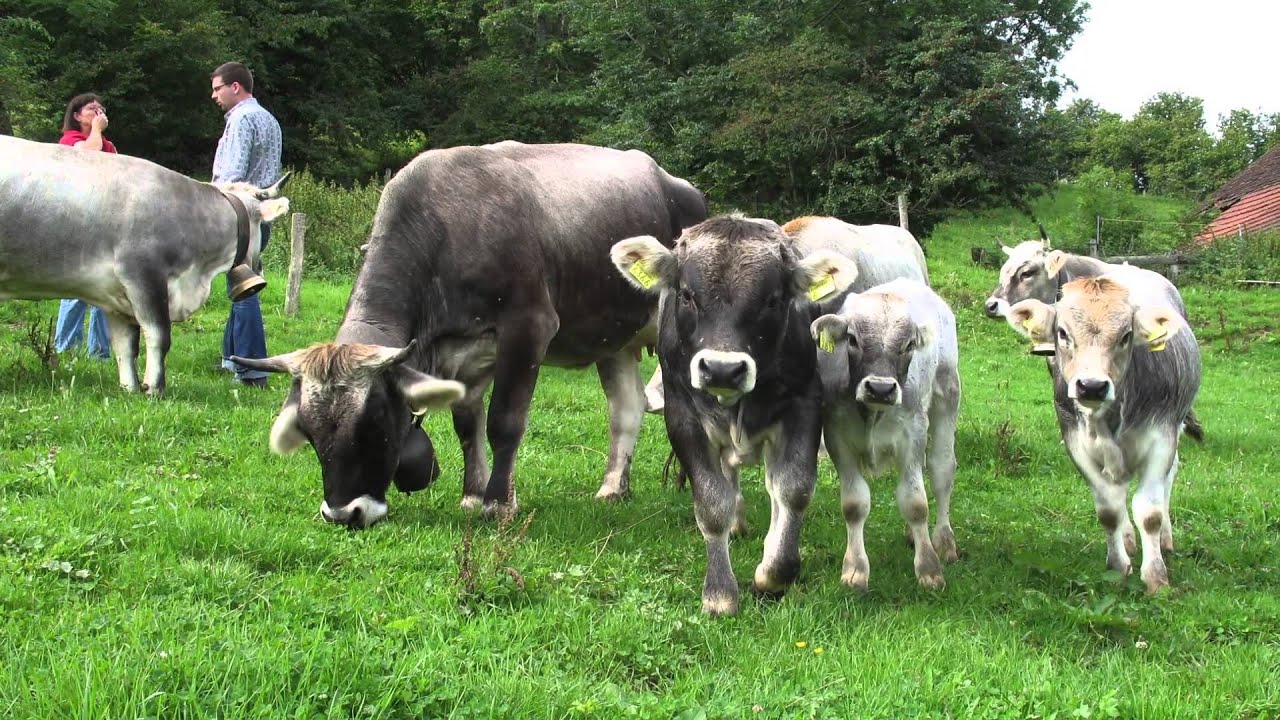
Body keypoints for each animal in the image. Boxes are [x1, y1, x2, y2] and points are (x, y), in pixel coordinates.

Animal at [0, 135, 289, 395]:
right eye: (262, 226)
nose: (258, 269)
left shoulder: (115, 296)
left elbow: (125, 345)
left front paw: (130, 388)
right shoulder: (144, 276)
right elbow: (159, 336)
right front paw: (154, 389)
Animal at [233, 141, 708, 527]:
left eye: (375, 423)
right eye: (310, 433)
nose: (343, 513)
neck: (447, 228)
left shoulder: (529, 328)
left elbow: (504, 422)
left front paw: (498, 503)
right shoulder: (460, 353)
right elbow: (466, 425)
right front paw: (472, 494)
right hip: (614, 339)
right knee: (626, 409)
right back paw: (613, 487)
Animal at [611, 215, 859, 615]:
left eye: (774, 299)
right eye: (686, 295)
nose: (722, 370)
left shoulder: (804, 403)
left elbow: (793, 489)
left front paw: (774, 573)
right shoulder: (683, 417)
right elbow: (713, 503)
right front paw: (719, 593)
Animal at [810, 278, 960, 591]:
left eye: (909, 344)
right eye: (852, 339)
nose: (880, 388)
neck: (873, 413)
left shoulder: (913, 434)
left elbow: (916, 503)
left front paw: (929, 568)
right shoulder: (838, 438)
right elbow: (854, 504)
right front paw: (855, 569)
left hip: (947, 395)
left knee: (941, 472)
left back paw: (943, 540)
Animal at [1004, 272, 1201, 593]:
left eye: (1126, 335)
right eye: (1062, 332)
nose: (1092, 386)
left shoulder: (1161, 439)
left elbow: (1150, 513)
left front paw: (1156, 577)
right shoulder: (1076, 443)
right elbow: (1109, 511)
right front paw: (1118, 567)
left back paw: (1164, 539)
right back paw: (1128, 540)